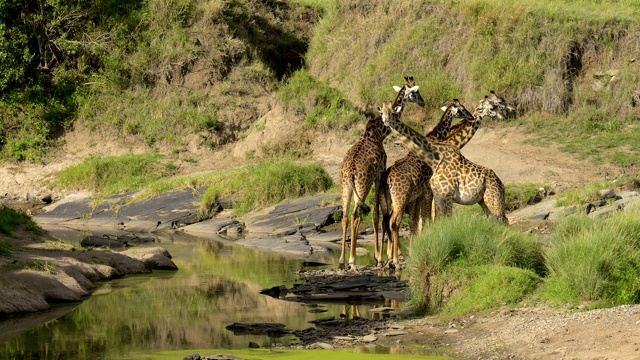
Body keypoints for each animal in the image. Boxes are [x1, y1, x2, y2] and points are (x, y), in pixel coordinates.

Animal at [340, 76, 424, 268]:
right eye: (415, 92)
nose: (423, 102)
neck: (379, 134)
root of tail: (350, 171)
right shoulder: (379, 174)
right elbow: (377, 215)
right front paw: (379, 257)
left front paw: (381, 256)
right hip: (362, 186)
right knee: (356, 216)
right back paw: (352, 260)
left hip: (345, 187)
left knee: (345, 217)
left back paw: (341, 261)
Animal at [378, 100, 478, 268]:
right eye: (461, 109)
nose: (471, 116)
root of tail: (388, 179)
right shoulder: (428, 191)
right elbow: (427, 219)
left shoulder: (418, 196)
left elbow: (417, 222)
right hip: (400, 199)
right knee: (393, 222)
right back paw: (395, 260)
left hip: (388, 201)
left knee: (384, 222)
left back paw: (385, 260)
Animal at [378, 101, 508, 225]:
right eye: (381, 114)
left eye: (393, 113)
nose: (386, 122)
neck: (434, 159)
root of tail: (501, 184)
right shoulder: (438, 196)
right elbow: (438, 220)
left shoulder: (447, 196)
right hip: (483, 201)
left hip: (493, 199)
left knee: (503, 220)